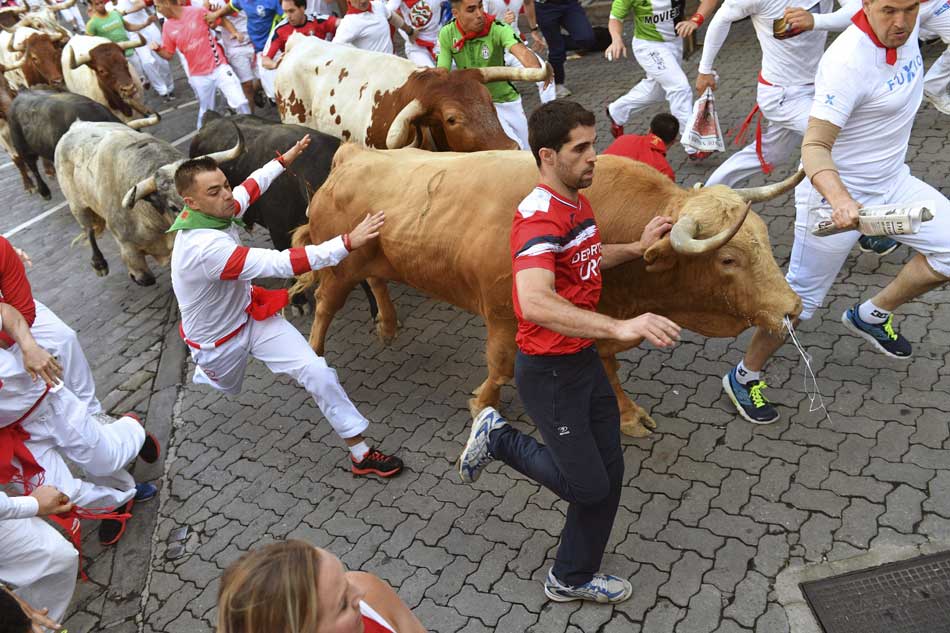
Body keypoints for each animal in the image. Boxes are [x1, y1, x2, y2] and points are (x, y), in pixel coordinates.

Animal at [294, 146, 808, 436]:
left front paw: (627, 415)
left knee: (377, 279)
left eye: (764, 238)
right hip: (338, 264)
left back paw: (388, 324)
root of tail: (354, 153)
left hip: (376, 257)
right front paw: (483, 402)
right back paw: (314, 358)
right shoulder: (505, 316)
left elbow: (609, 371)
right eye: (728, 260)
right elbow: (501, 368)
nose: (793, 307)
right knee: (324, 304)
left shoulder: (600, 322)